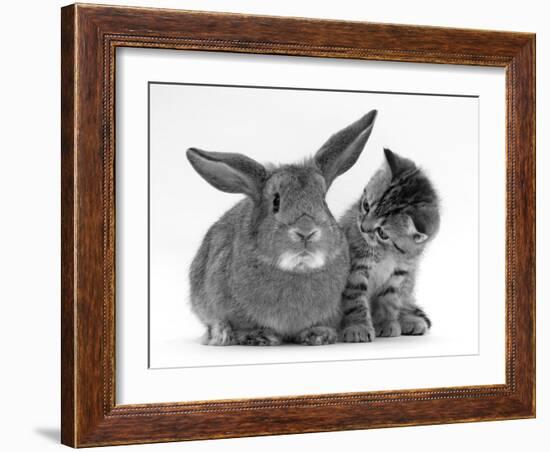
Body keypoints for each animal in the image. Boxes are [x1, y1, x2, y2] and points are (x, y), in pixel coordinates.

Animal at [188, 110, 378, 346]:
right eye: (276, 202)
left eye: (323, 201)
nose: (306, 231)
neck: (298, 269)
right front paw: (259, 336)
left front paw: (319, 334)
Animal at [338, 149, 442, 342]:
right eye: (366, 206)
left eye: (383, 233)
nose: (363, 228)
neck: (387, 253)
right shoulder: (355, 266)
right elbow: (355, 298)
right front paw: (358, 327)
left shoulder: (401, 272)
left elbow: (389, 300)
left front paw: (386, 323)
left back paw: (410, 320)